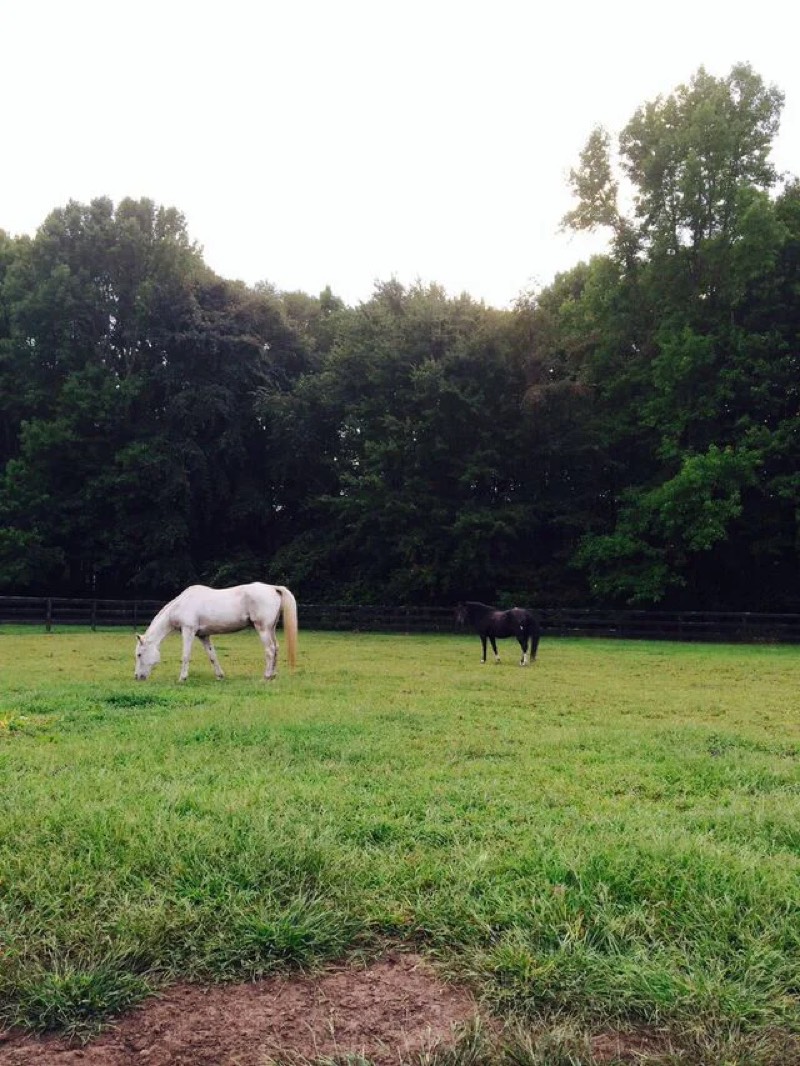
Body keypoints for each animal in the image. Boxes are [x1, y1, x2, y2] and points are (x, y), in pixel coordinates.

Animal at [134, 583, 298, 682]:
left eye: (139, 654)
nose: (137, 677)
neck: (182, 604)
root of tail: (273, 588)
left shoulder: (188, 631)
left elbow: (186, 655)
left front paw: (182, 678)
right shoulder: (203, 635)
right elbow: (212, 656)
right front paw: (220, 676)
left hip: (263, 628)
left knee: (270, 650)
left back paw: (266, 676)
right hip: (271, 628)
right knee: (276, 648)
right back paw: (273, 675)